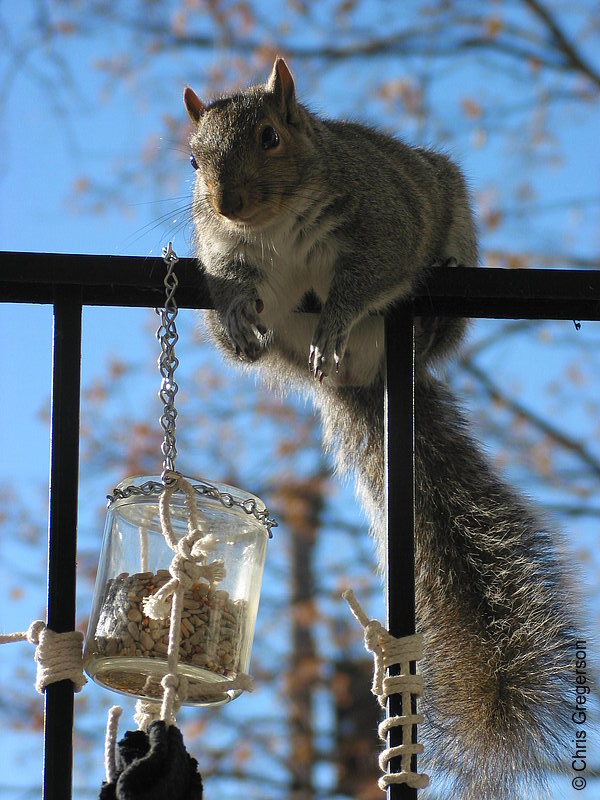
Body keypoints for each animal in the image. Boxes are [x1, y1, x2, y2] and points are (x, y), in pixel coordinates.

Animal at [184, 59, 576, 796]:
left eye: (271, 137)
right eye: (192, 161)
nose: (227, 204)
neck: (273, 224)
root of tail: (363, 377)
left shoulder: (382, 215)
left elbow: (372, 270)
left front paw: (336, 317)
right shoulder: (222, 255)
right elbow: (229, 283)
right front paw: (236, 317)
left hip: (447, 241)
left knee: (432, 311)